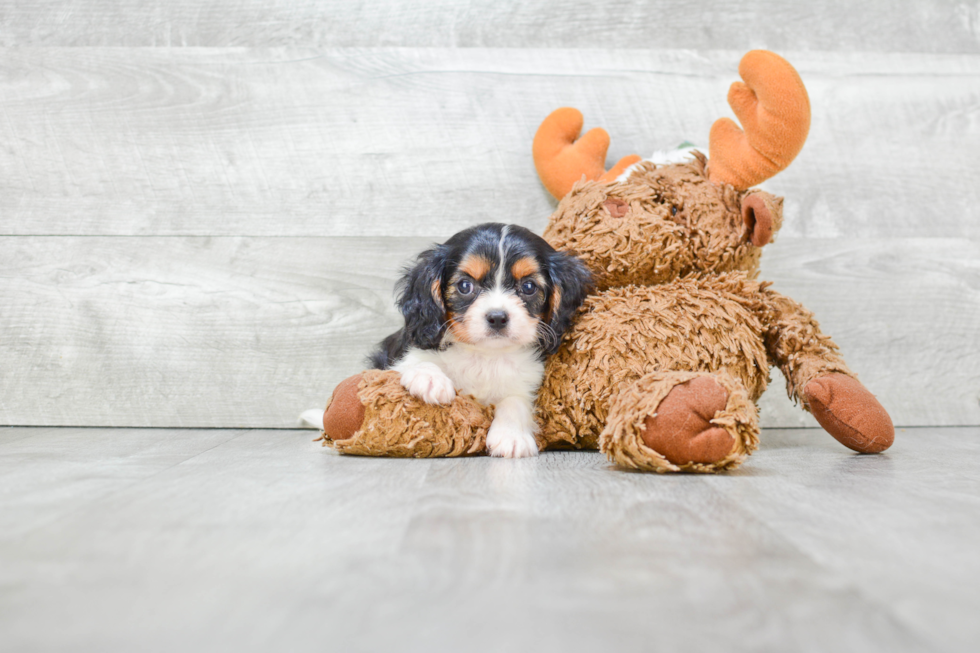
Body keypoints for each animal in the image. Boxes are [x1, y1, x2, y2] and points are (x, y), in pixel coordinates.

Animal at [370, 222, 588, 456]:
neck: (485, 354)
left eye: (528, 287)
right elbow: (415, 362)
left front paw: (511, 436)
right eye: (465, 286)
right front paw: (429, 379)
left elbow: (516, 401)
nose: (497, 317)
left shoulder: (525, 382)